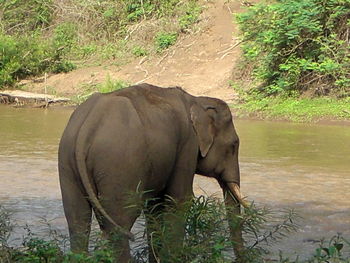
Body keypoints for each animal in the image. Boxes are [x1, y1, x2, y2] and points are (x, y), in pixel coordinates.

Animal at [58, 83, 249, 262]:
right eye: (234, 145)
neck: (197, 100)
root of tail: (88, 127)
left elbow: (155, 207)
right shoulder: (187, 143)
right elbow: (179, 200)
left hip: (67, 165)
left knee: (77, 221)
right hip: (118, 166)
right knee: (120, 224)